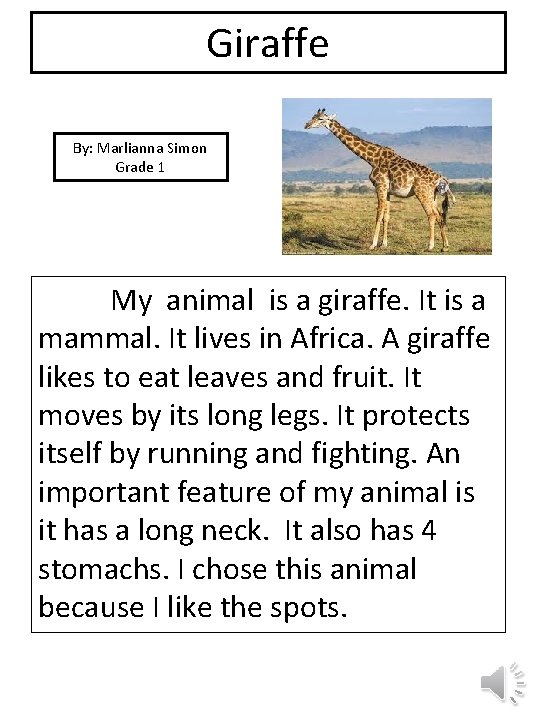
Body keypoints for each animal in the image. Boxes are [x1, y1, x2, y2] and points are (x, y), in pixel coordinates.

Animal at [304, 109, 456, 251]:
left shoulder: (380, 186)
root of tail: (440, 178)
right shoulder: (387, 191)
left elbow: (378, 214)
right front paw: (384, 244)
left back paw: (430, 246)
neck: (372, 159)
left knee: (431, 215)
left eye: (321, 119)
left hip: (422, 192)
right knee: (440, 215)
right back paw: (445, 246)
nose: (307, 125)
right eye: (313, 116)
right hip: (432, 195)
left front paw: (373, 244)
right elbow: (386, 216)